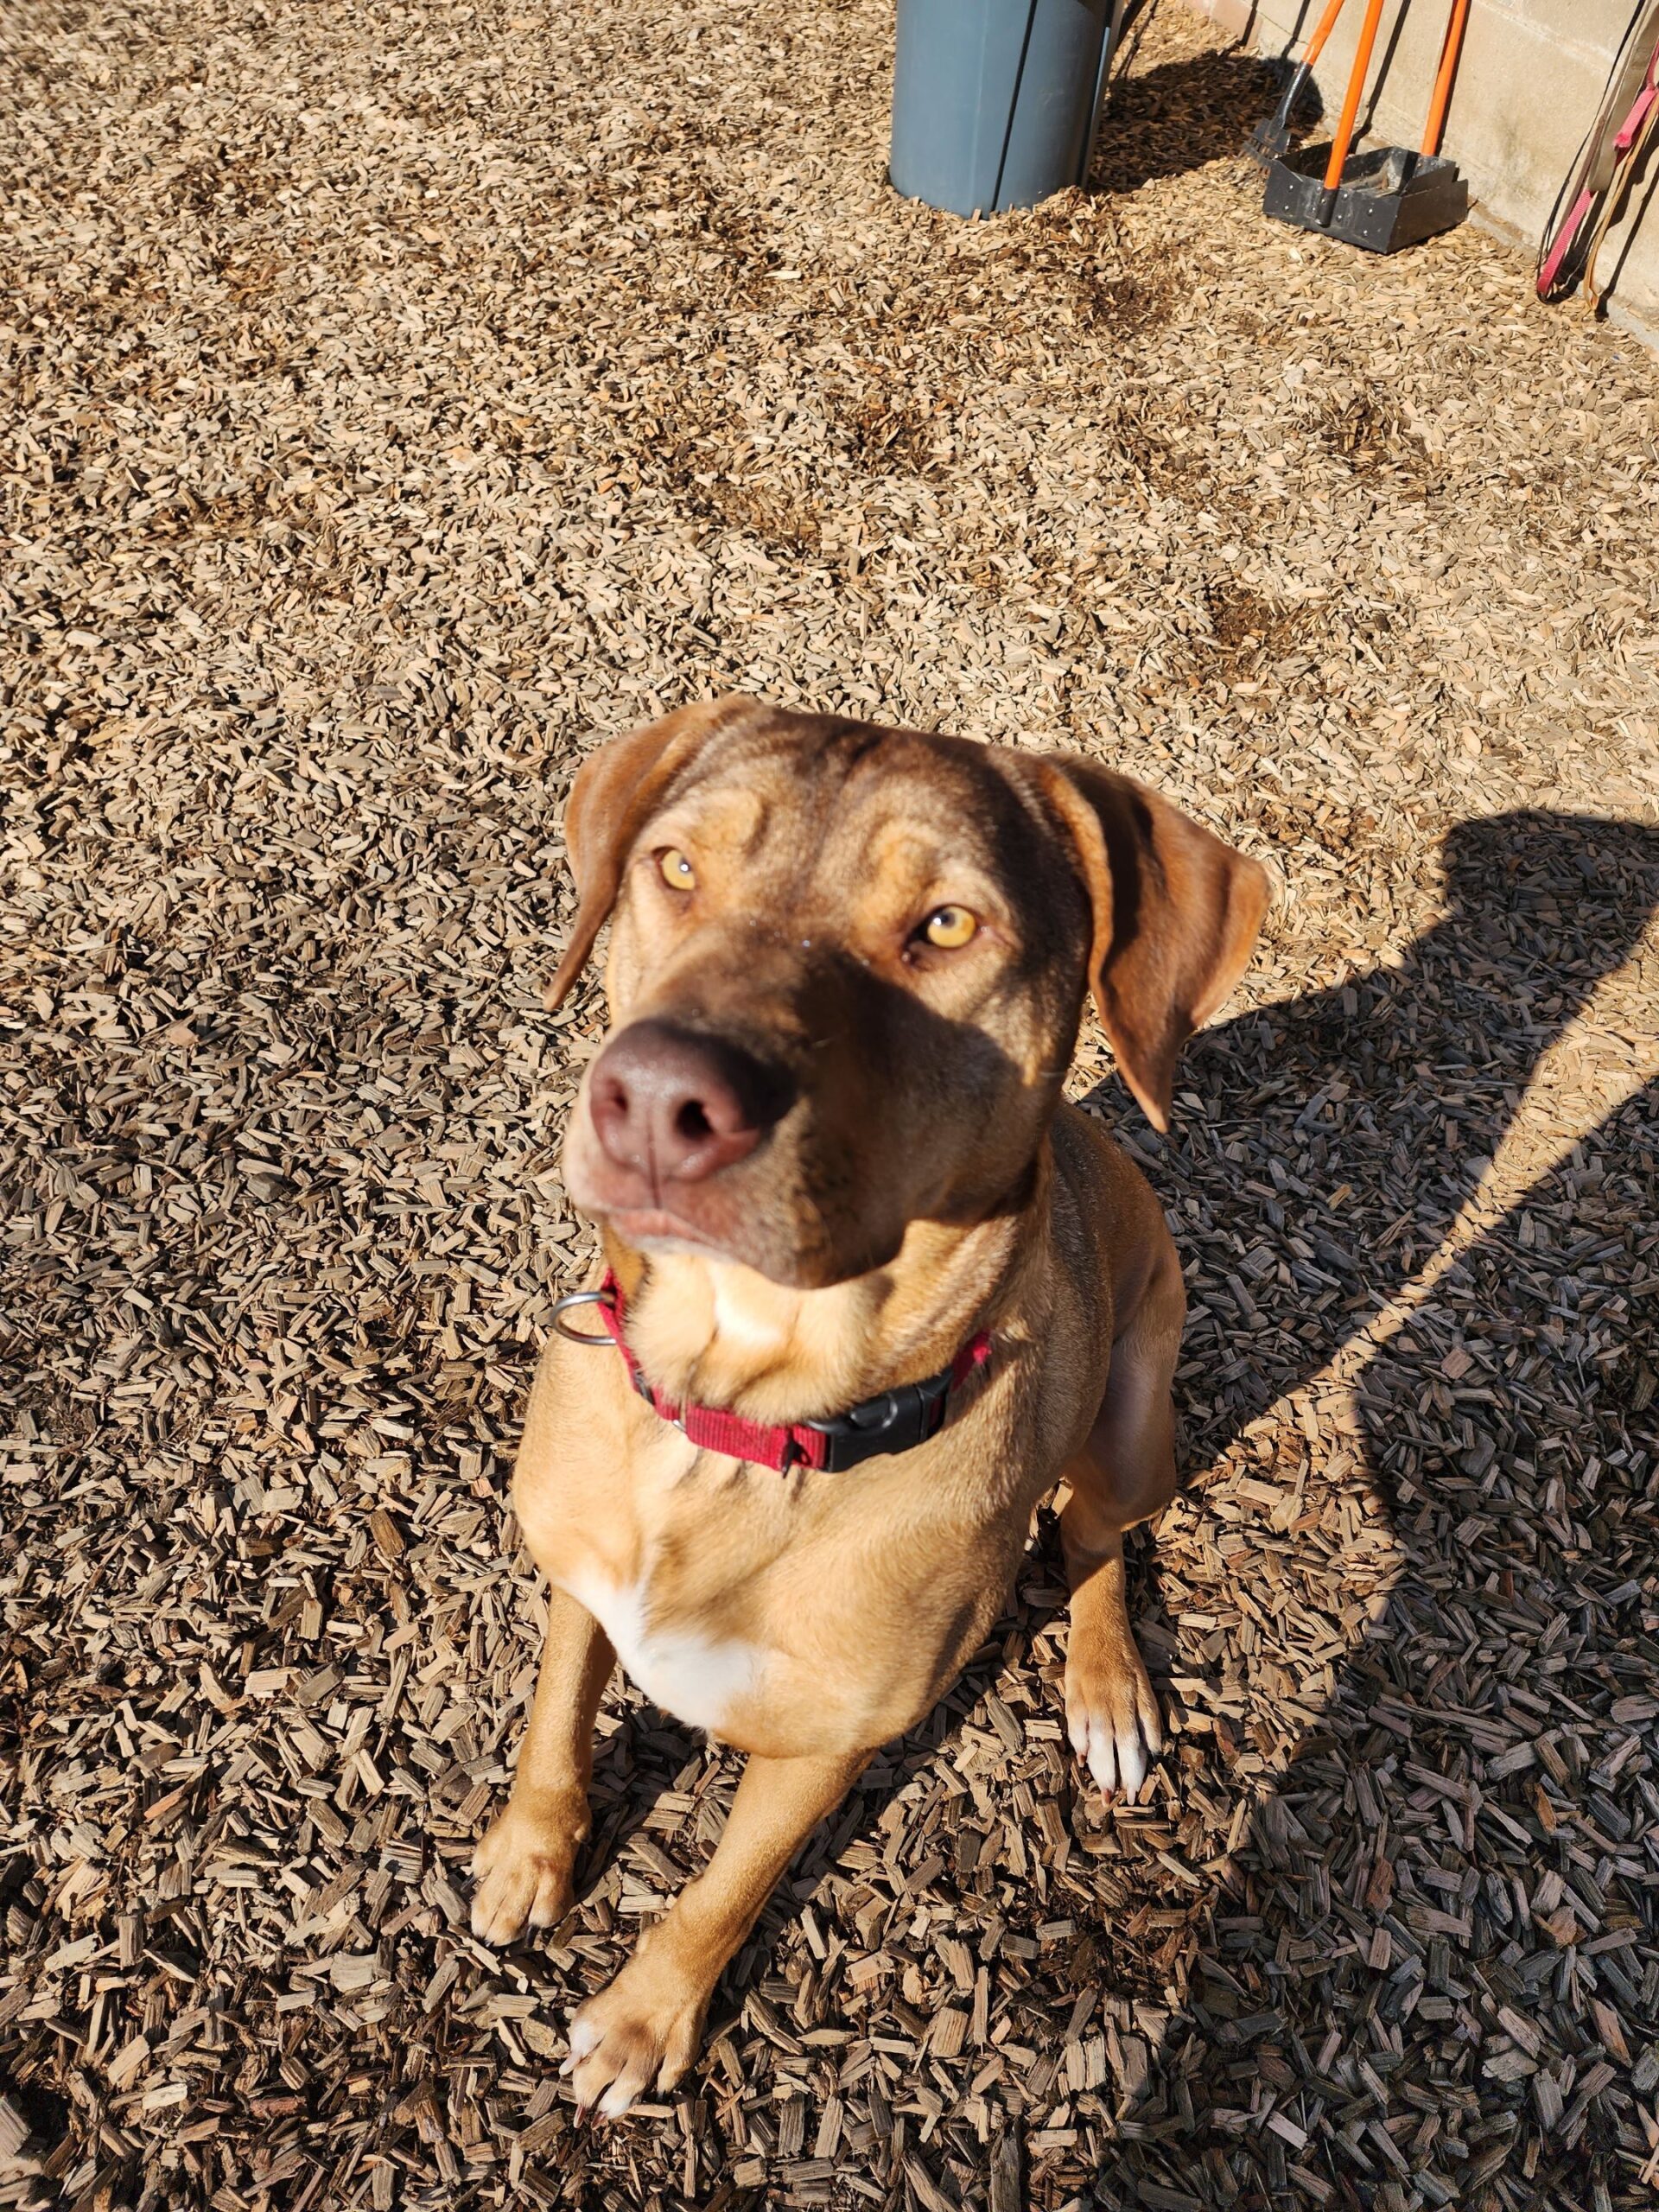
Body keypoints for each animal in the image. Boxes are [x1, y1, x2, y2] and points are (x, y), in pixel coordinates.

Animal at [471, 698, 1274, 2114]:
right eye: (676, 867)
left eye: (946, 925)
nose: (657, 1101)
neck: (738, 1426)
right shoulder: (579, 1572)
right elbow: (555, 1722)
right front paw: (530, 1851)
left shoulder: (826, 1747)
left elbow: (723, 1894)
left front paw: (641, 2021)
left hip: (1136, 1422)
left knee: (1096, 1540)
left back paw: (1108, 1683)